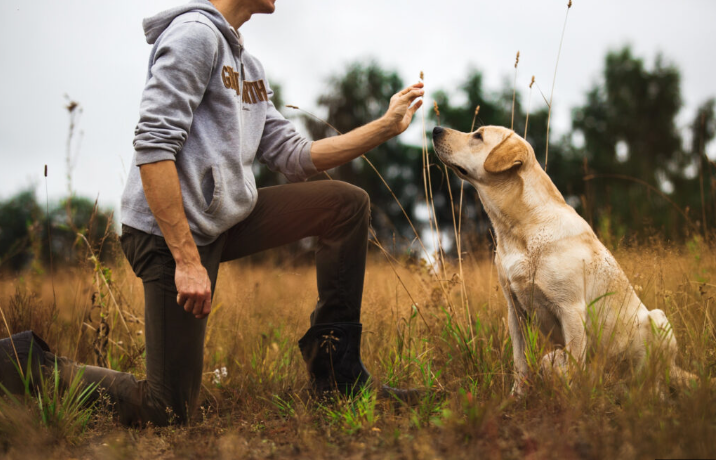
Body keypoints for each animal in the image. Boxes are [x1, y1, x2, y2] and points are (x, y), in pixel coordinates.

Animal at [430, 126, 692, 396]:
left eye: (478, 136)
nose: (436, 129)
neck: (520, 230)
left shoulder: (571, 309)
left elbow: (575, 367)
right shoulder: (515, 311)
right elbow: (520, 362)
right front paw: (517, 397)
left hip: (658, 320)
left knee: (654, 383)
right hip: (553, 357)